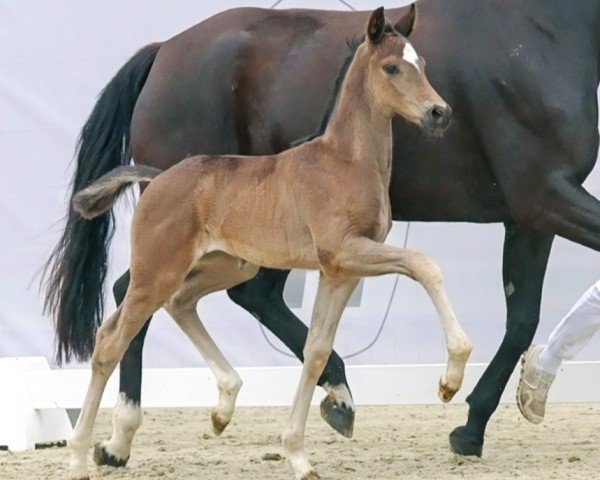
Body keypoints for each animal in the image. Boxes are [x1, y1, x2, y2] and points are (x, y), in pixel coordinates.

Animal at [68, 8, 472, 480]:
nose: (439, 113)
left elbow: (316, 351)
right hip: (158, 270)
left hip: (227, 265)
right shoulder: (345, 251)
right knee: (110, 339)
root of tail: (156, 177)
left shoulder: (340, 272)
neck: (346, 162)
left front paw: (299, 455)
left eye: (421, 63)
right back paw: (80, 456)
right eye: (391, 67)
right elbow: (424, 264)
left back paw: (223, 405)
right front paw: (450, 379)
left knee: (181, 303)